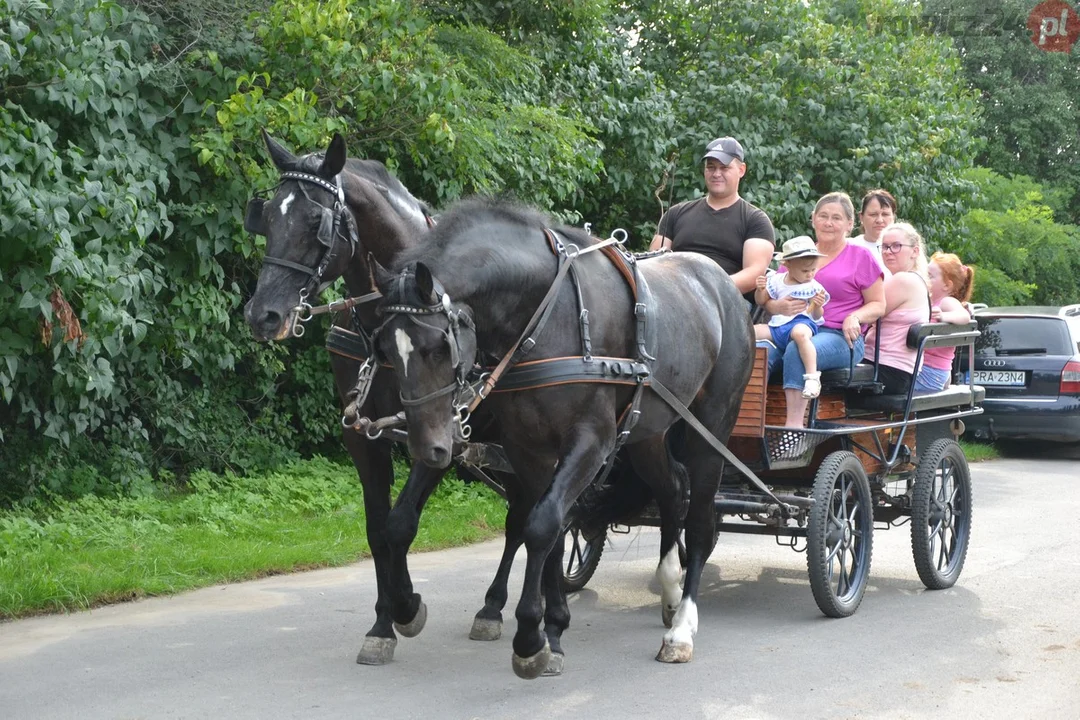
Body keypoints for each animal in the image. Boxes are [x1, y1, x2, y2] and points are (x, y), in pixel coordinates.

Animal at [239, 133, 522, 664]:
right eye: (266, 218)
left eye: (316, 222)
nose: (263, 315)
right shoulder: (363, 436)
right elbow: (376, 530)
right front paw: (383, 622)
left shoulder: (444, 436)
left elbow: (399, 525)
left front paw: (407, 608)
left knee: (523, 518)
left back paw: (493, 607)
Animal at [375, 199, 756, 677]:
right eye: (387, 349)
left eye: (438, 346)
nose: (429, 447)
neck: (546, 314)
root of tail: (720, 283)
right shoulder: (527, 447)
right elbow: (550, 530)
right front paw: (551, 631)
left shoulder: (592, 440)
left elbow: (541, 526)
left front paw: (528, 638)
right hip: (649, 432)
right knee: (672, 490)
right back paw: (669, 589)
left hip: (712, 428)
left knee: (702, 521)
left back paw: (682, 629)